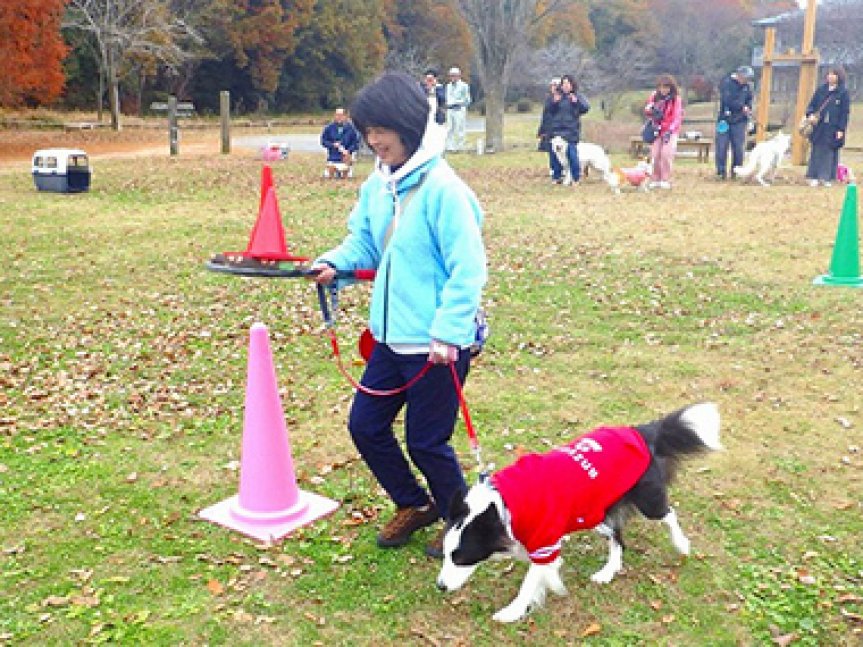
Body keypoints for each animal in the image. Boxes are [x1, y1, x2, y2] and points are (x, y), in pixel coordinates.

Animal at [436, 404, 724, 624]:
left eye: (461, 558)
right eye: (445, 554)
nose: (440, 586)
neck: (502, 507)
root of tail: (641, 432)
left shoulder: (543, 543)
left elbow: (529, 583)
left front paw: (512, 612)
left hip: (645, 499)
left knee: (668, 514)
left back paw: (681, 544)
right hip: (596, 510)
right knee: (618, 537)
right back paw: (608, 571)